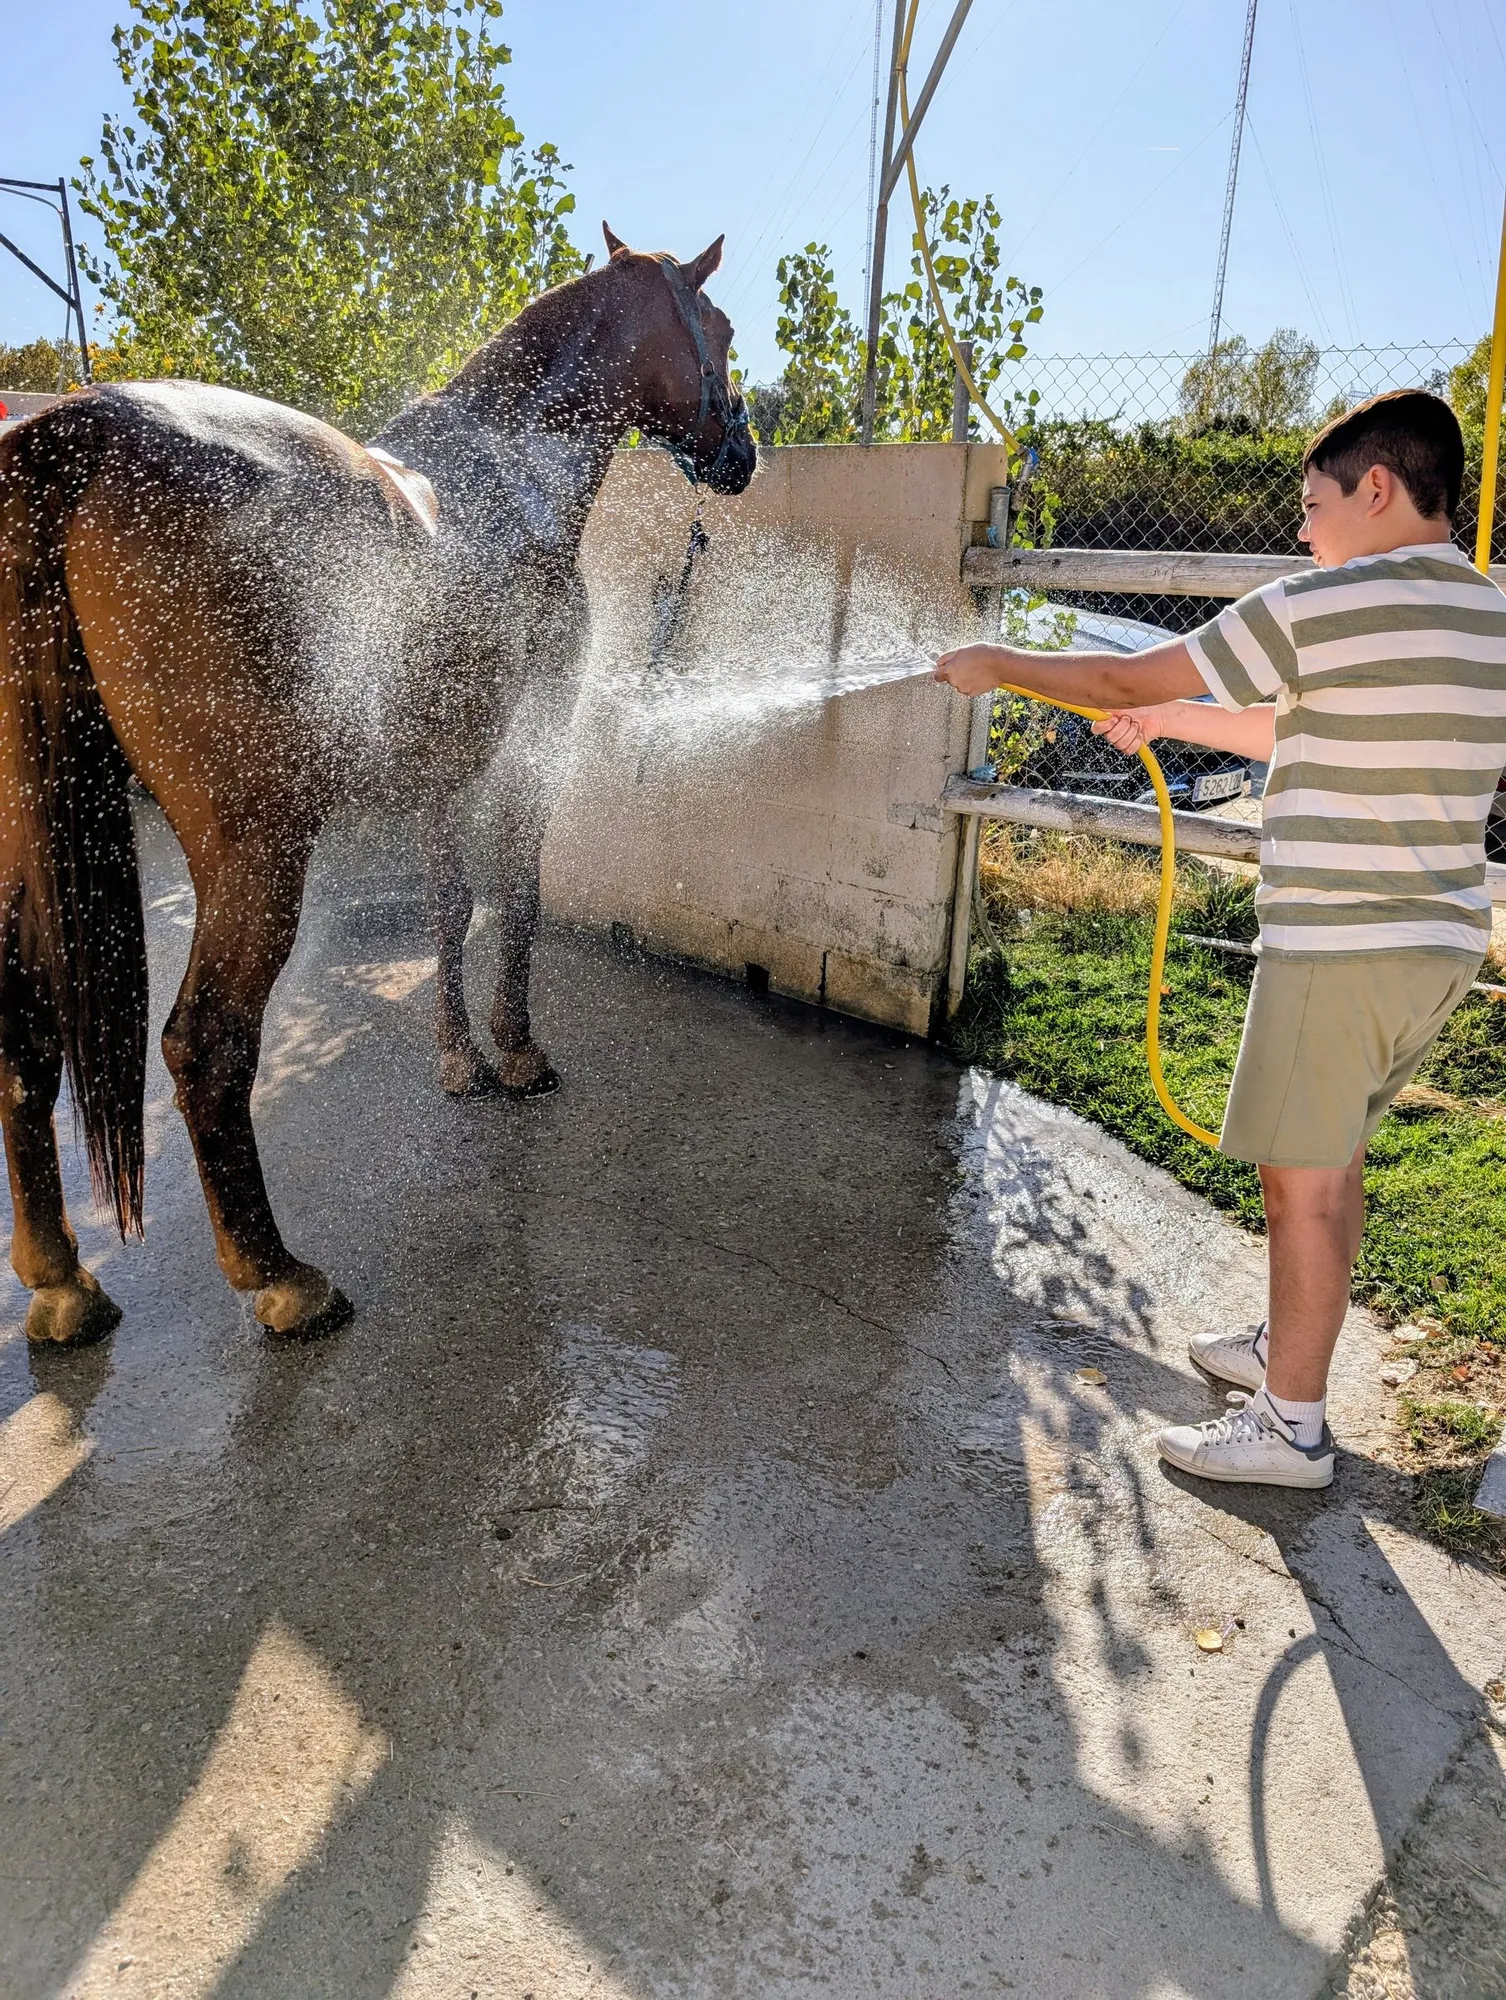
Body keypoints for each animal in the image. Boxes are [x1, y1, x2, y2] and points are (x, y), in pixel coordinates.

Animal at [0, 224, 755, 1347]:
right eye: (722, 328)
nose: (743, 454)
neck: (514, 473)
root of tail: (74, 431)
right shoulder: (526, 754)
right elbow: (517, 899)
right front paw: (518, 1056)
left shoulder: (445, 768)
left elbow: (449, 905)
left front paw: (459, 1061)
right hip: (256, 849)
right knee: (205, 1043)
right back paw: (282, 1278)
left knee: (25, 1039)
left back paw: (61, 1282)